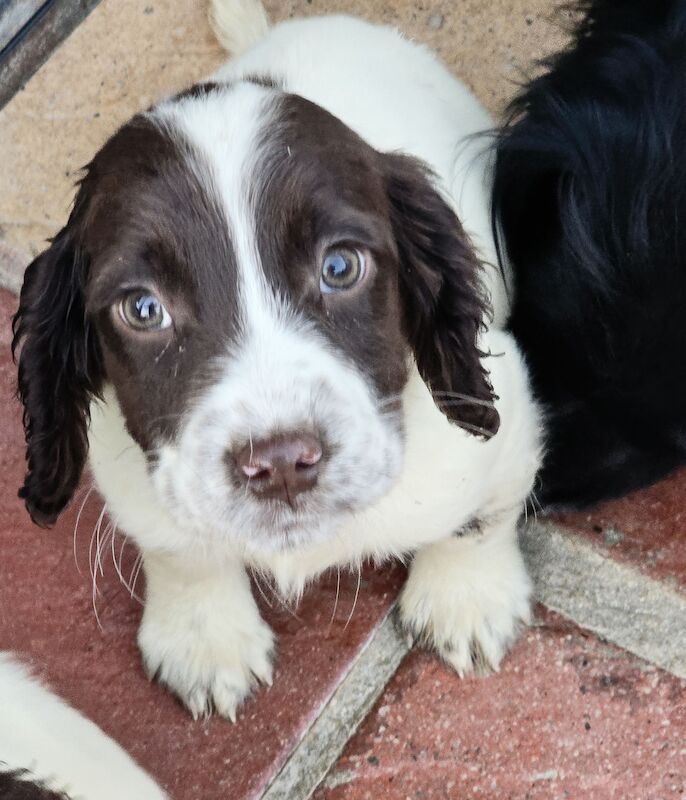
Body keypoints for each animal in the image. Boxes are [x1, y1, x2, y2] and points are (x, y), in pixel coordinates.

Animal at [12, 0, 544, 720]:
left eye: (340, 266)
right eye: (142, 308)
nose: (282, 462)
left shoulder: (503, 423)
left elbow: (477, 518)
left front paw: (465, 598)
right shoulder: (131, 472)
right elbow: (178, 546)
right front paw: (204, 638)